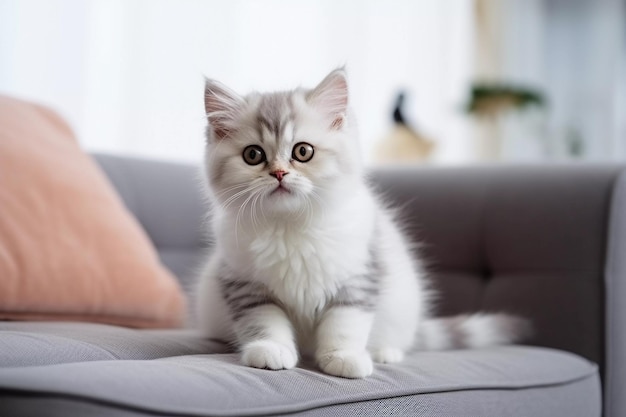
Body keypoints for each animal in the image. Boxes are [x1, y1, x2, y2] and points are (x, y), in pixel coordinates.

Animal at [196, 67, 528, 376]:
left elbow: (344, 323)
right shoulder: (244, 283)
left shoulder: (359, 275)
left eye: (303, 151)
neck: (290, 224)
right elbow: (264, 320)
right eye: (253, 155)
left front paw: (344, 358)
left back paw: (385, 352)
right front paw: (270, 350)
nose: (278, 173)